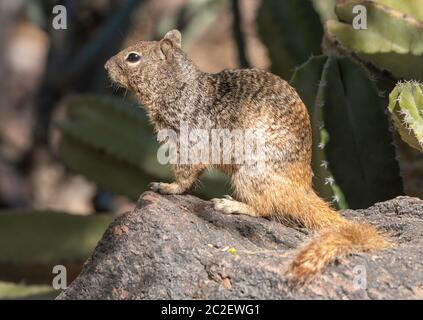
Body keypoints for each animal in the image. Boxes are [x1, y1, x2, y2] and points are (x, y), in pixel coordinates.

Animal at [105, 28, 394, 282]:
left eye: (133, 57)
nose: (106, 67)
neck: (177, 86)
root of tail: (302, 187)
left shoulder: (188, 137)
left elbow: (187, 172)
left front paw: (168, 187)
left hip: (249, 174)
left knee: (264, 209)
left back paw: (231, 205)